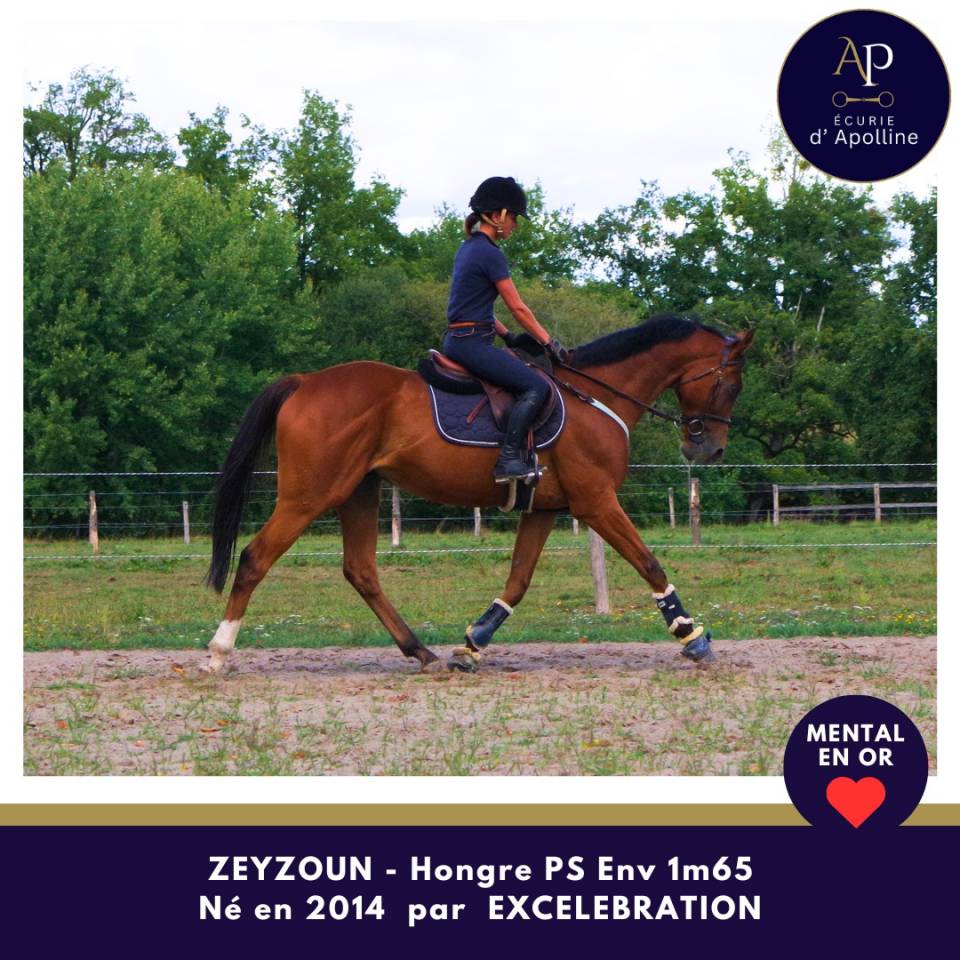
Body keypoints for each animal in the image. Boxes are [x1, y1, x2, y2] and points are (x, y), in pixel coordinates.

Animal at [202, 314, 754, 675]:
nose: (710, 448)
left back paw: (420, 652)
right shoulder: (596, 502)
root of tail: (304, 382)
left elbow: (517, 580)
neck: (597, 396)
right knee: (255, 558)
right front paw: (692, 636)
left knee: (361, 571)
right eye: (731, 384)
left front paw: (473, 643)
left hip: (359, 492)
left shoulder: (545, 509)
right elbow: (650, 564)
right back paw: (219, 652)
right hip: (309, 496)